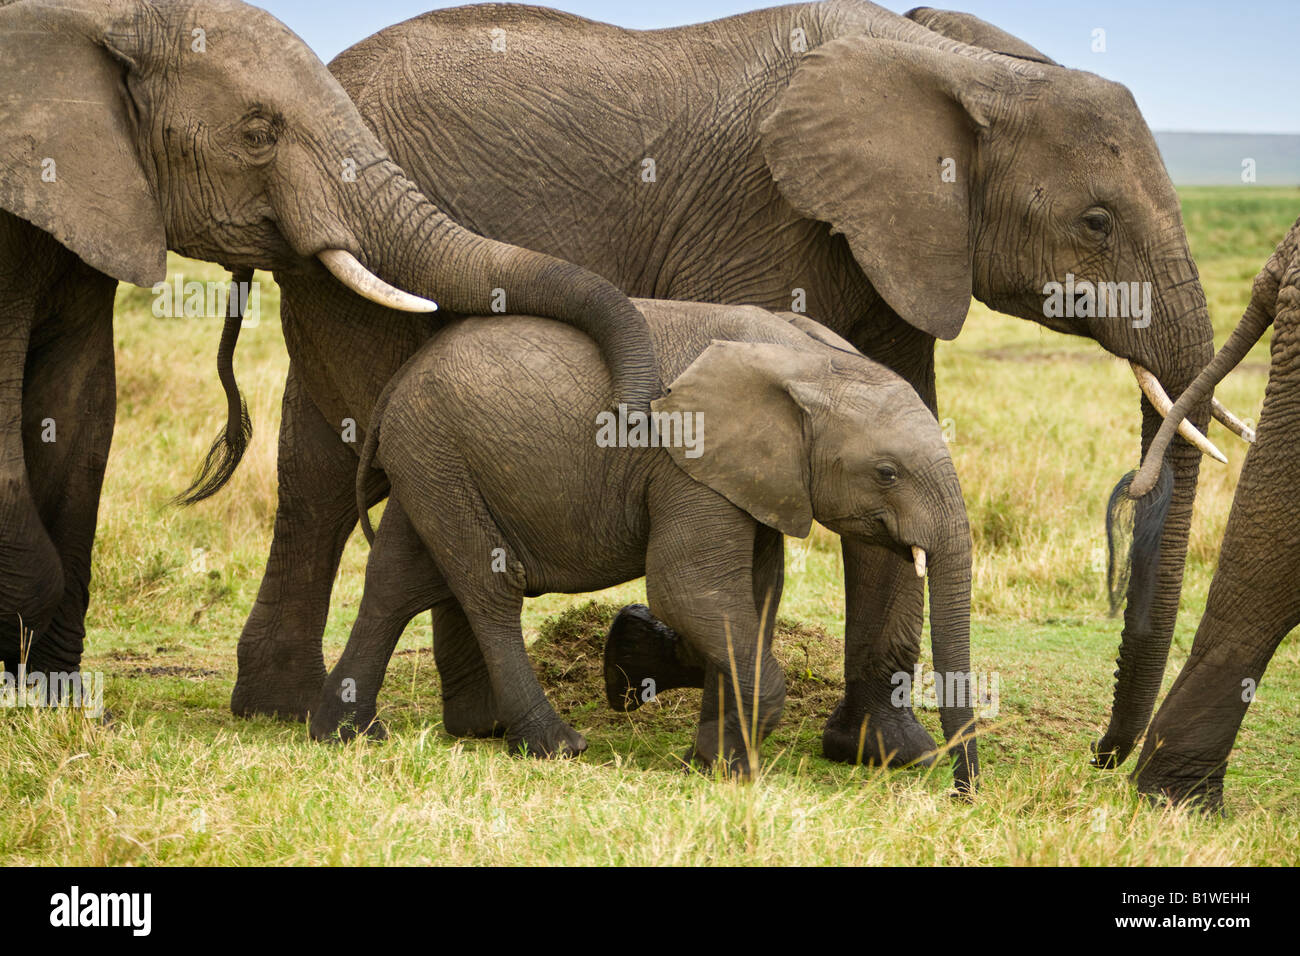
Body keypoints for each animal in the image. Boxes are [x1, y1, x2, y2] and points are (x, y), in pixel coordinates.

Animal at [312, 303, 977, 790]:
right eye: (887, 473)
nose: (959, 790)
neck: (808, 360)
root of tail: (401, 378)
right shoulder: (687, 463)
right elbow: (689, 589)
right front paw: (726, 769)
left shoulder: (751, 477)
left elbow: (752, 595)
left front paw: (705, 755)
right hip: (439, 451)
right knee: (489, 586)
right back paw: (556, 746)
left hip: (430, 456)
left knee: (396, 582)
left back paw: (344, 735)